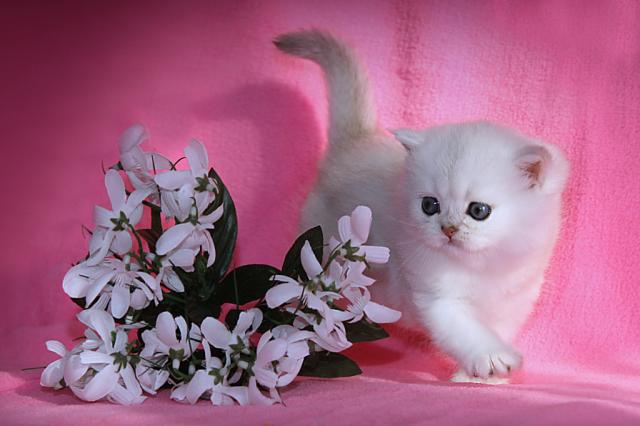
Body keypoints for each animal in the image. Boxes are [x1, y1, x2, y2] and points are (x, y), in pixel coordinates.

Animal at [274, 29, 569, 383]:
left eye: (478, 211)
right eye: (430, 205)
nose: (448, 229)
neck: (485, 268)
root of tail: (356, 139)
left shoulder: (514, 300)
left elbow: (496, 329)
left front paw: (480, 379)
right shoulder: (437, 297)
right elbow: (466, 331)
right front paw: (493, 359)